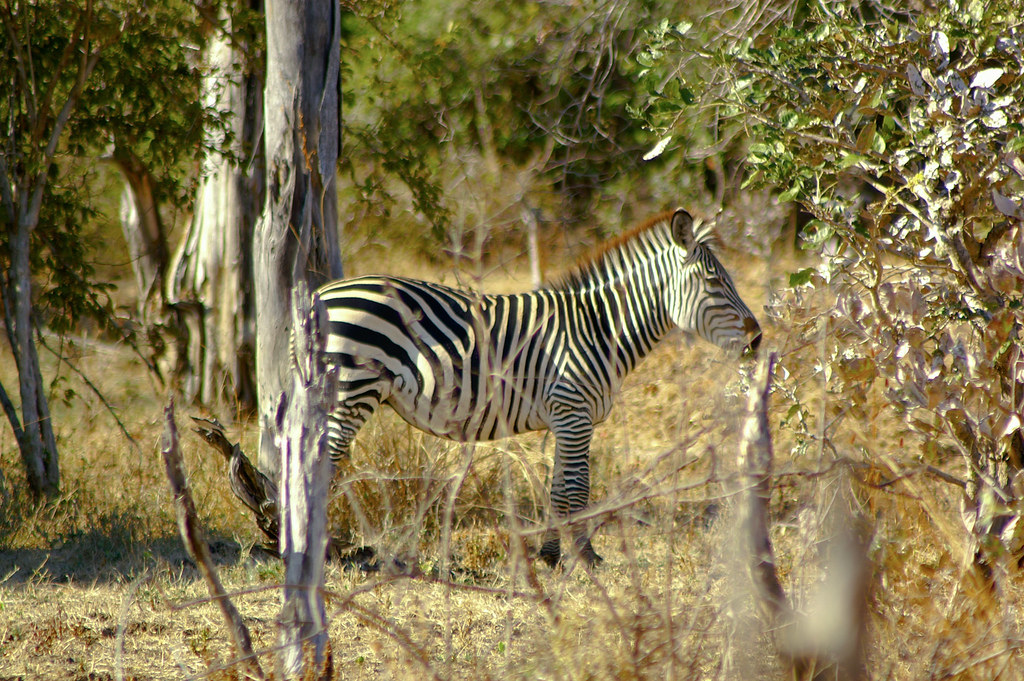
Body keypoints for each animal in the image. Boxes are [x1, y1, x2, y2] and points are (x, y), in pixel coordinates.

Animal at [317, 209, 761, 565]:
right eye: (714, 282)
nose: (757, 339)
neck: (599, 328)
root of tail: (321, 293)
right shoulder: (574, 413)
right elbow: (577, 490)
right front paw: (587, 558)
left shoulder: (568, 418)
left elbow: (558, 490)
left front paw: (550, 556)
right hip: (350, 391)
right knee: (321, 463)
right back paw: (323, 552)